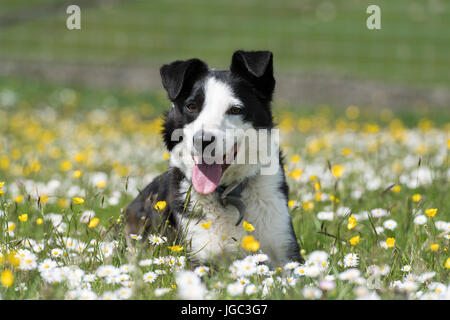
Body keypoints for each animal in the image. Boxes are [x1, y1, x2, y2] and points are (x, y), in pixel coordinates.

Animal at [125, 50, 304, 264]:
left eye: (235, 110)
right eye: (191, 106)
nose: (202, 141)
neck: (226, 195)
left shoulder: (287, 250)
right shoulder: (198, 257)